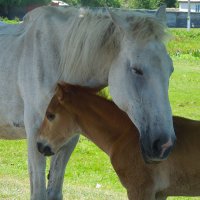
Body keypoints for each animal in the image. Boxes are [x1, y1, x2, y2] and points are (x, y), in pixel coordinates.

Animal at [0, 5, 175, 200]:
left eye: (170, 69)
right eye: (136, 69)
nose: (164, 145)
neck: (59, 59)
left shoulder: (66, 139)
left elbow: (55, 191)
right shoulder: (35, 136)